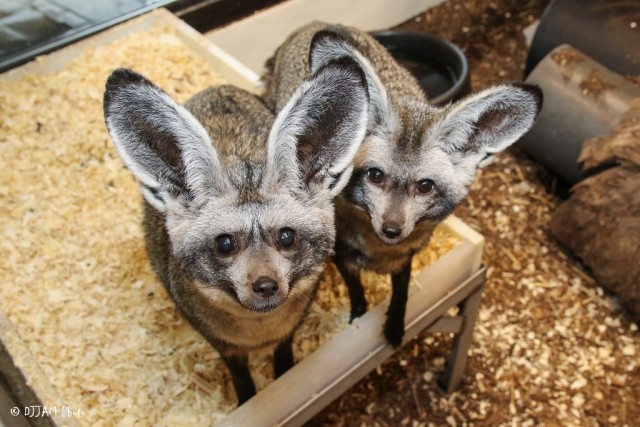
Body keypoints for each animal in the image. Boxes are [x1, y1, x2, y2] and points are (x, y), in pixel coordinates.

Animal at [102, 61, 368, 404]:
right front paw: (247, 400)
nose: (265, 285)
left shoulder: (290, 329)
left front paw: (283, 377)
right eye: (225, 243)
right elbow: (241, 379)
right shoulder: (220, 343)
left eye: (286, 237)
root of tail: (216, 87)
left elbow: (284, 358)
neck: (258, 331)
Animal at [263, 22, 542, 348]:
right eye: (375, 175)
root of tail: (315, 24)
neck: (379, 253)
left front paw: (396, 326)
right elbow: (357, 294)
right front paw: (358, 320)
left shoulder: (406, 257)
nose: (391, 229)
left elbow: (402, 292)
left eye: (425, 186)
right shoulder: (343, 256)